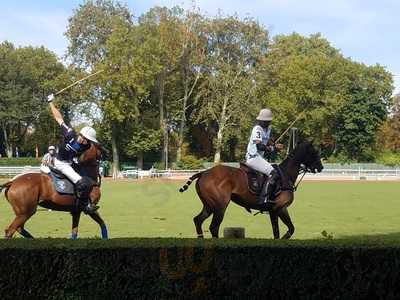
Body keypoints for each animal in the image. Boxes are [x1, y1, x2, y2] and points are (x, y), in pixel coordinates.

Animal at [180, 141, 324, 239]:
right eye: (314, 152)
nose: (321, 167)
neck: (286, 175)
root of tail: (203, 173)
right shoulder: (281, 208)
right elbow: (290, 229)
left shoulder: (273, 211)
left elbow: (276, 232)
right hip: (220, 206)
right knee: (213, 227)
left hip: (209, 205)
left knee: (198, 220)